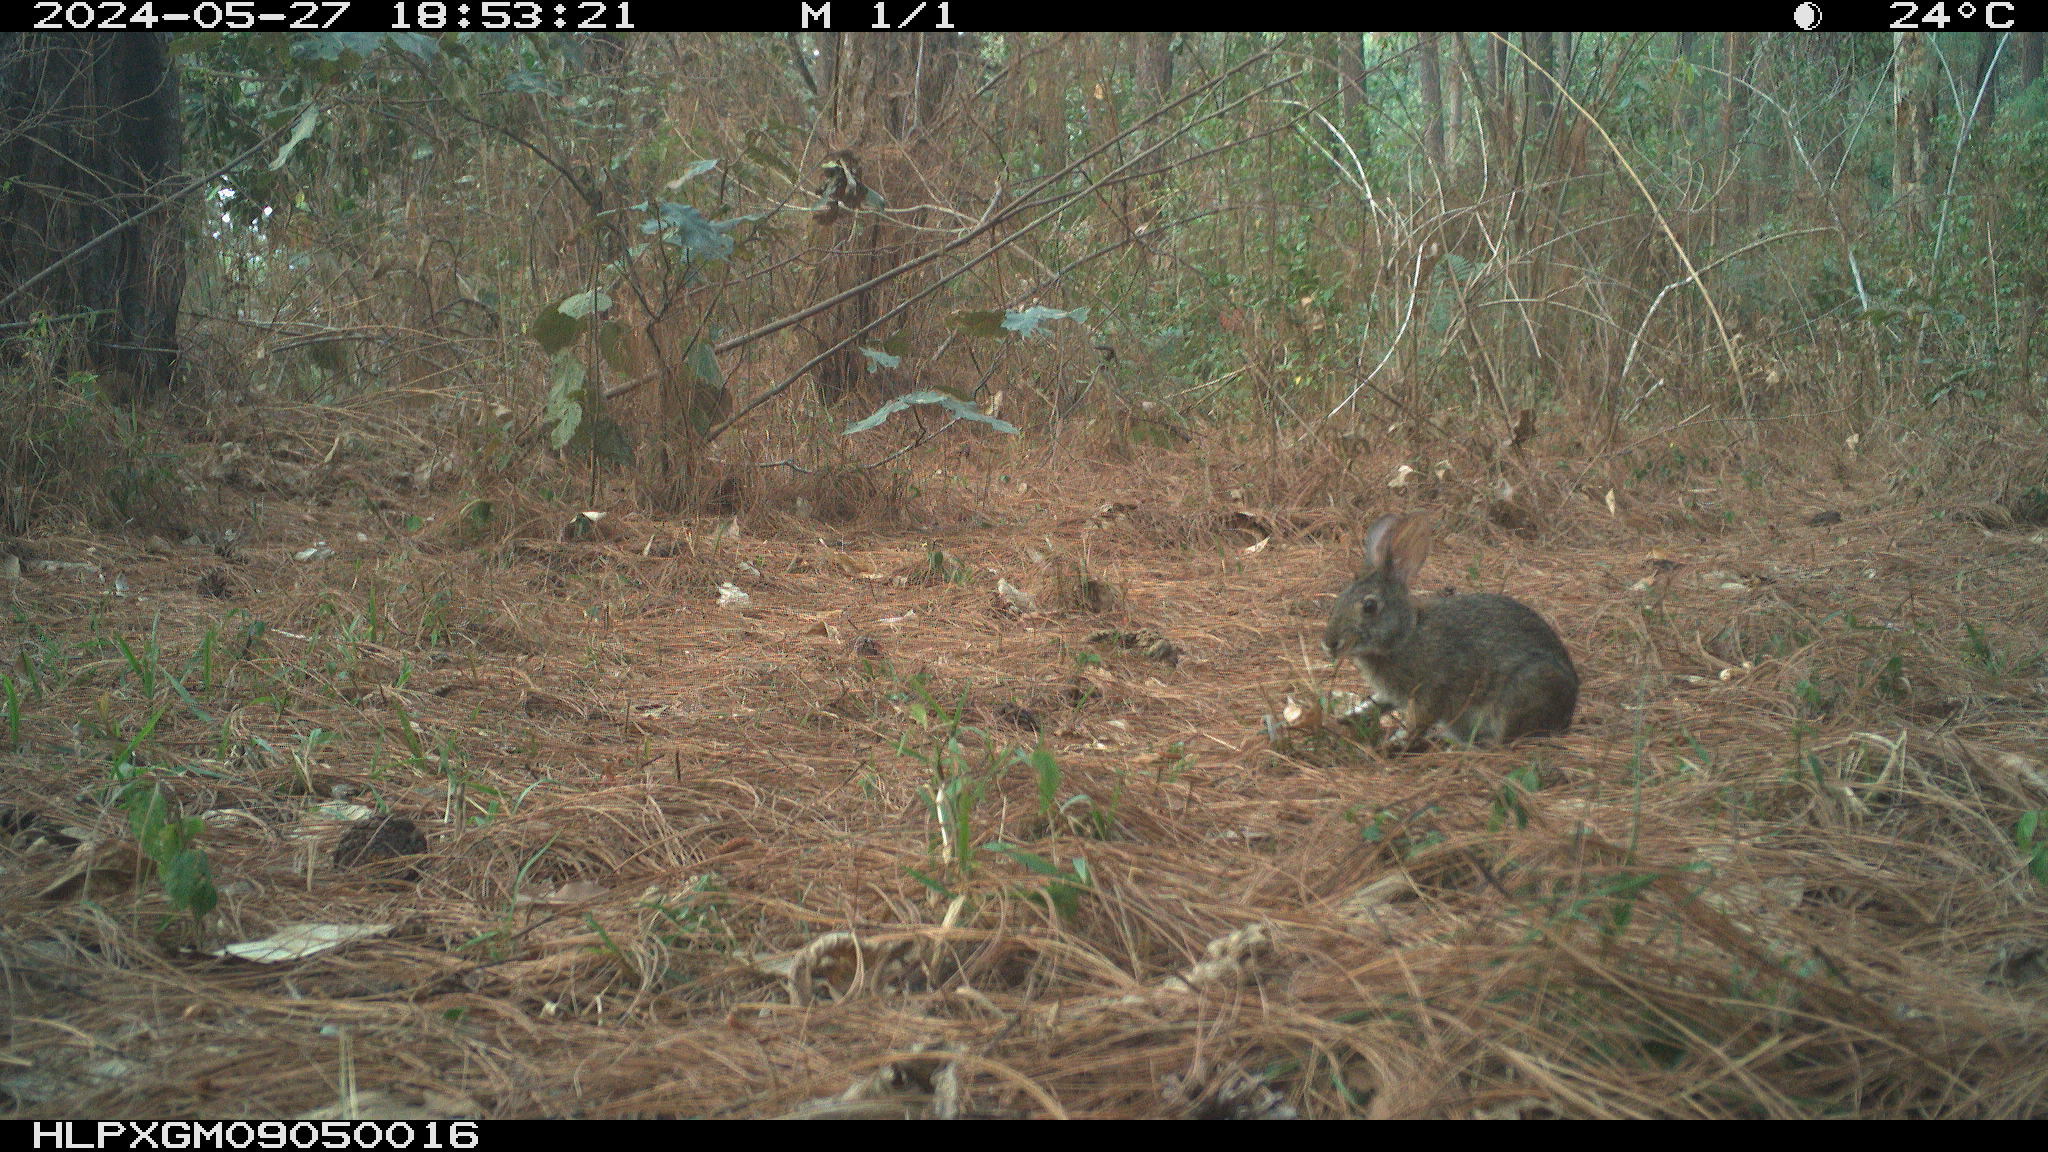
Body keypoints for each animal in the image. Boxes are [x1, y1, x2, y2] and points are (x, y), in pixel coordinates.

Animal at [1324, 512, 1577, 749]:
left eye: (1369, 606)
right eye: (1340, 598)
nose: (1329, 643)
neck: (1406, 635)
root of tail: (1567, 713)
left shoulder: (1432, 691)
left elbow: (1418, 722)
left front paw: (1395, 742)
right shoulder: (1392, 694)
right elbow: (1376, 703)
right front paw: (1345, 719)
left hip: (1521, 694)